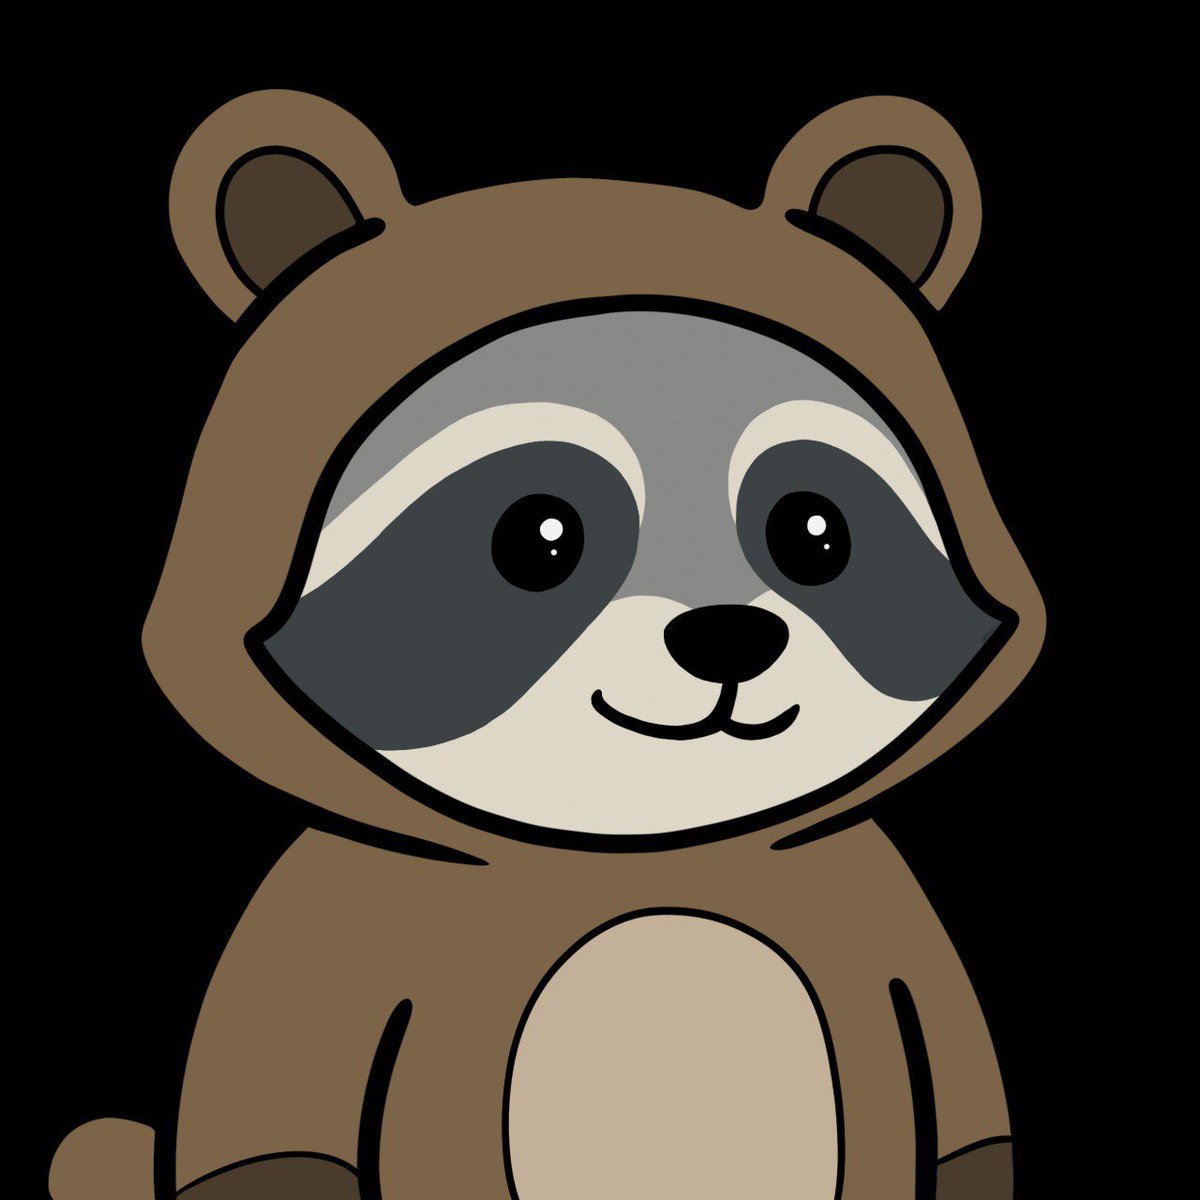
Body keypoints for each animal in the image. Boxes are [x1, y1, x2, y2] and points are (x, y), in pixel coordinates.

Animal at [52, 91, 1043, 1200]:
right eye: (538, 536)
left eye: (815, 531)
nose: (730, 634)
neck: (641, 856)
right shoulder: (320, 932)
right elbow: (276, 1130)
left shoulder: (887, 915)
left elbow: (968, 1124)